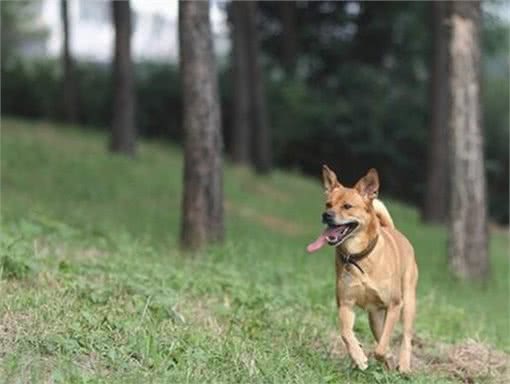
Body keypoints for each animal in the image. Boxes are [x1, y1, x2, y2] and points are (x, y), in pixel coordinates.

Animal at [306, 165, 418, 372]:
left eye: (347, 206)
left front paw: (380, 356)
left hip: (408, 303)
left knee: (406, 337)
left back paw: (404, 366)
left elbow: (380, 348)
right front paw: (358, 356)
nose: (326, 215)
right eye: (328, 204)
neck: (359, 257)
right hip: (374, 317)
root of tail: (394, 231)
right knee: (381, 336)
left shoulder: (394, 305)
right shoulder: (345, 304)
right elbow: (346, 333)